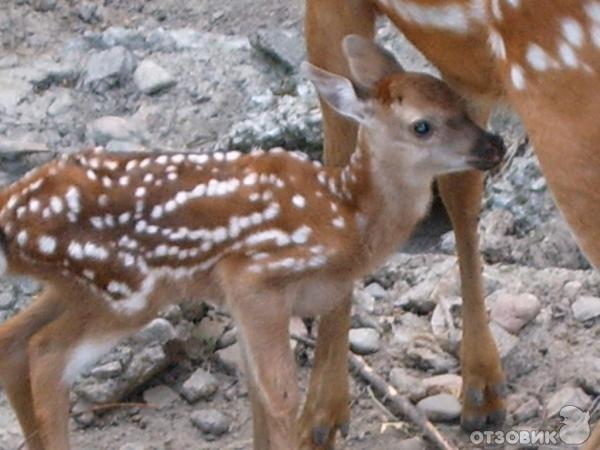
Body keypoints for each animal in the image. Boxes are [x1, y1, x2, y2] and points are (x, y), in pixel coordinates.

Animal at [0, 39, 502, 450]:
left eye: (460, 102)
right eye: (423, 126)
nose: (495, 145)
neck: (346, 218)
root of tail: (10, 211)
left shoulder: (246, 301)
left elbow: (258, 395)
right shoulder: (256, 277)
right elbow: (280, 396)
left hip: (77, 284)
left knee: (15, 339)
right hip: (126, 289)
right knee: (45, 355)